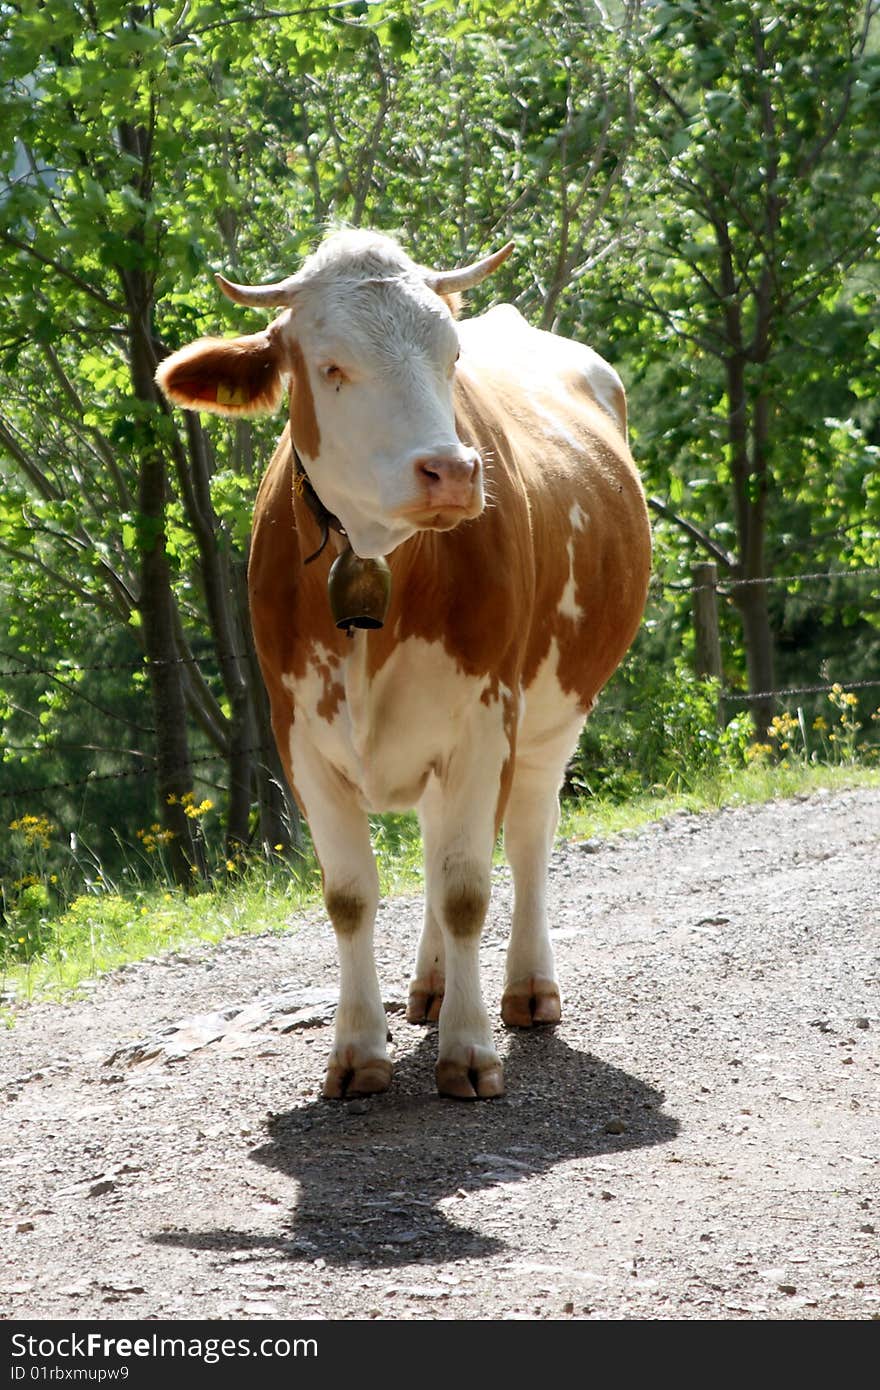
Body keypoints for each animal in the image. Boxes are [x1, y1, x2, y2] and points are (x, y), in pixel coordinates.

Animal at [156, 230, 653, 1095]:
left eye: (451, 357)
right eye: (330, 365)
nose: (451, 471)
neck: (378, 559)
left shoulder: (487, 719)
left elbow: (466, 891)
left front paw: (470, 1048)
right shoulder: (298, 735)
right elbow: (351, 896)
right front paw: (358, 1050)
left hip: (557, 710)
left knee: (527, 836)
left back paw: (526, 986)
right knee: (431, 834)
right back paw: (429, 984)